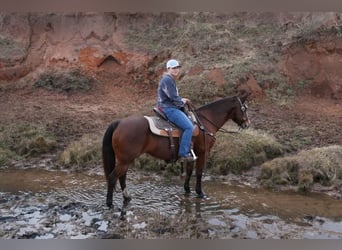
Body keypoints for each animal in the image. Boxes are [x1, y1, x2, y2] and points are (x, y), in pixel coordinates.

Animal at [103, 91, 250, 208]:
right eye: (244, 108)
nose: (247, 124)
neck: (204, 122)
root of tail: (119, 122)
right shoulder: (203, 152)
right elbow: (199, 173)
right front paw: (200, 193)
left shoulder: (191, 154)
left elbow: (189, 171)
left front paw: (187, 190)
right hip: (125, 160)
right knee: (113, 177)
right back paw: (110, 204)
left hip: (125, 160)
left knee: (122, 176)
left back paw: (127, 197)